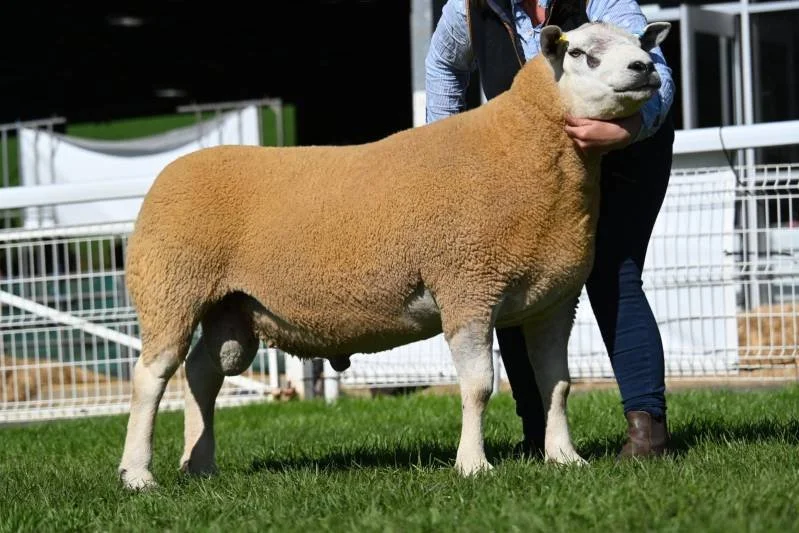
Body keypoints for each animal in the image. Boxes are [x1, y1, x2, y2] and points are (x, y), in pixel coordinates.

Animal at [117, 21, 672, 490]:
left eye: (638, 41)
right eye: (580, 54)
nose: (645, 67)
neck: (527, 150)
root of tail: (172, 171)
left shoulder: (553, 300)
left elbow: (556, 385)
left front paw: (564, 458)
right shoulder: (466, 284)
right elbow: (479, 386)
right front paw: (473, 466)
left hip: (229, 309)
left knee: (202, 373)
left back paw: (199, 465)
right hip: (171, 287)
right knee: (152, 376)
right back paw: (138, 475)